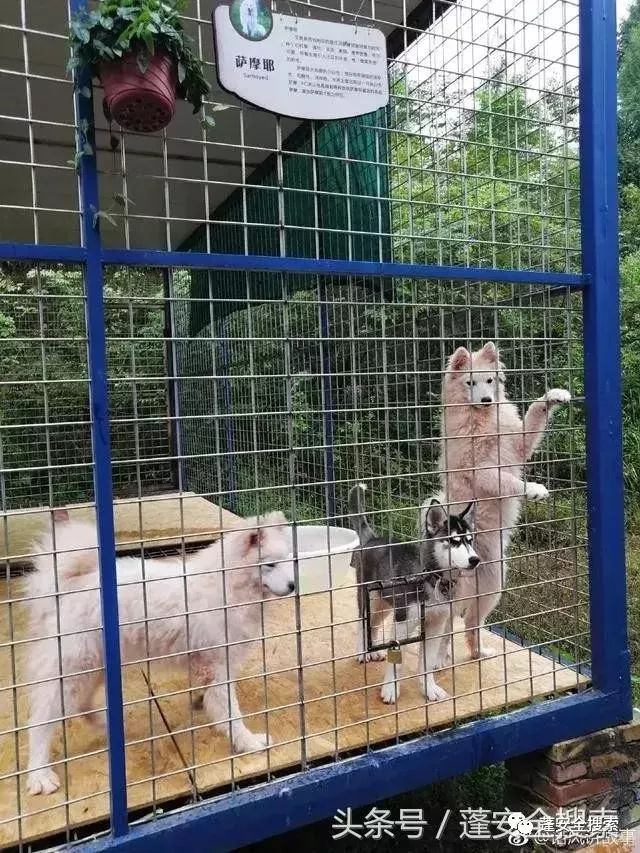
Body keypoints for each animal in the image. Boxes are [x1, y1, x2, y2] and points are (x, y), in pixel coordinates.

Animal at [24, 511, 295, 796]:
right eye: (270, 565)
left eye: (287, 560)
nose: (292, 585)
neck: (227, 586)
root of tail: (73, 583)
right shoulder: (218, 665)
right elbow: (230, 711)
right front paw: (249, 743)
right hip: (72, 669)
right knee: (40, 722)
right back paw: (39, 775)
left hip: (93, 667)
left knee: (81, 705)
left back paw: (107, 724)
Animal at [348, 483, 479, 704]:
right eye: (453, 541)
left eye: (470, 540)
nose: (475, 560)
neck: (433, 580)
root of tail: (374, 538)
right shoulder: (402, 622)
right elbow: (396, 662)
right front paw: (390, 690)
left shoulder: (436, 625)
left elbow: (428, 662)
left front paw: (429, 689)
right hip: (370, 600)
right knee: (362, 623)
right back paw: (363, 652)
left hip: (385, 604)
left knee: (374, 625)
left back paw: (375, 651)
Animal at [439, 341, 571, 661]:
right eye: (470, 383)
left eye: (489, 380)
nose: (487, 400)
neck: (482, 420)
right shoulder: (482, 471)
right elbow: (507, 481)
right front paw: (532, 489)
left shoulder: (519, 445)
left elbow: (535, 410)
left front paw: (554, 396)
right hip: (457, 593)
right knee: (446, 627)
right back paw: (442, 659)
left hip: (493, 586)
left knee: (471, 624)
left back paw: (479, 653)